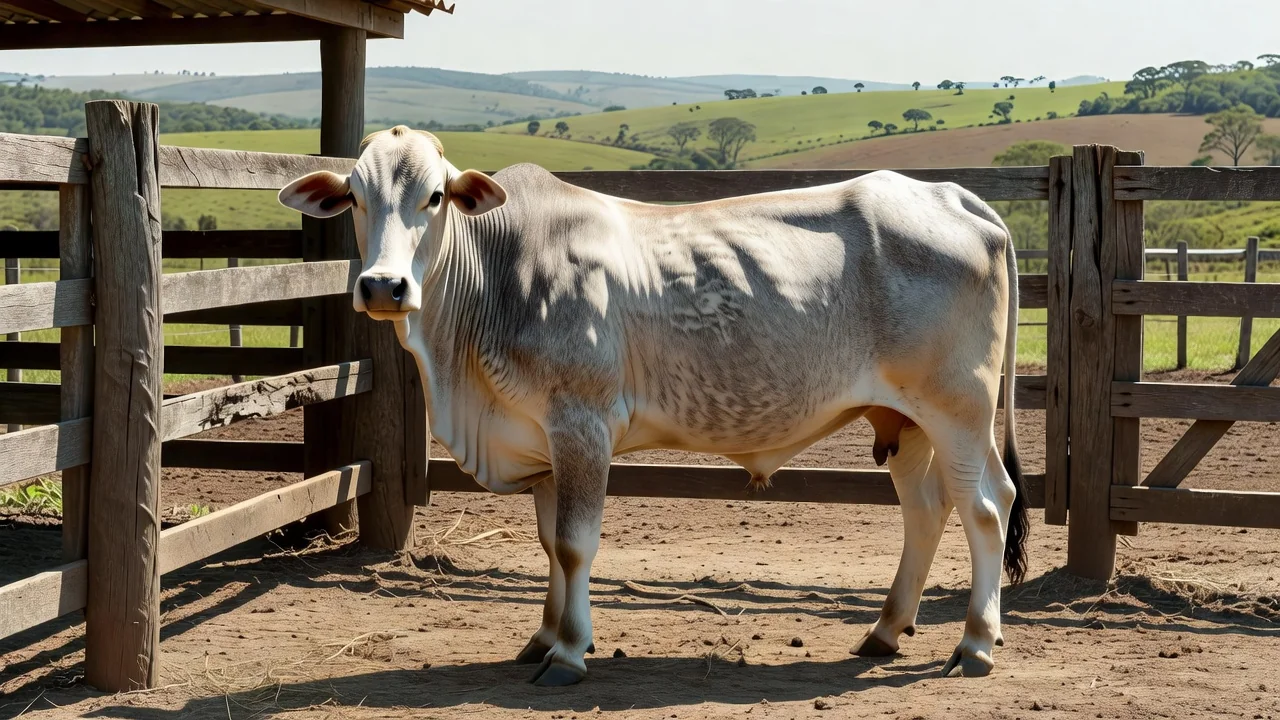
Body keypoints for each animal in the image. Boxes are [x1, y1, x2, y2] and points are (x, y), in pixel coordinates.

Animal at [278, 126, 1029, 686]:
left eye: (434, 196)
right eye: (355, 197)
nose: (383, 285)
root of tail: (953, 195)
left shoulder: (582, 424)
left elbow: (575, 545)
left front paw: (568, 653)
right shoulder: (544, 440)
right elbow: (550, 545)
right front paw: (543, 637)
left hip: (959, 410)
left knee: (987, 506)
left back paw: (975, 643)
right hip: (905, 420)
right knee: (926, 511)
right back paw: (885, 630)